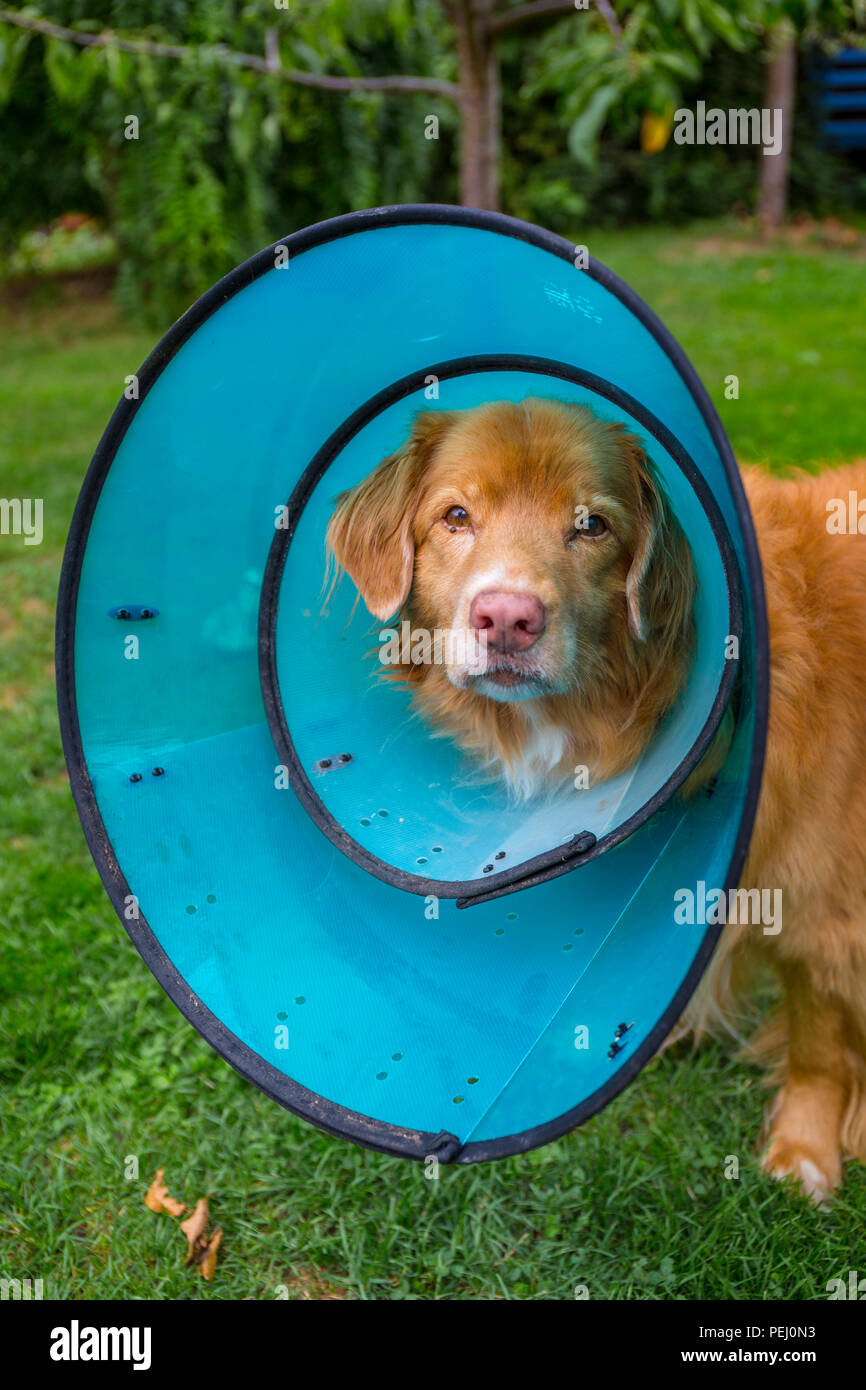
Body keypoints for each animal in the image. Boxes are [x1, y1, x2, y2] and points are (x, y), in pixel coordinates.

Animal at [326, 397, 866, 1200]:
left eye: (592, 526)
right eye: (455, 516)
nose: (507, 619)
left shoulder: (824, 902)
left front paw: (805, 1151)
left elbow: (820, 1039)